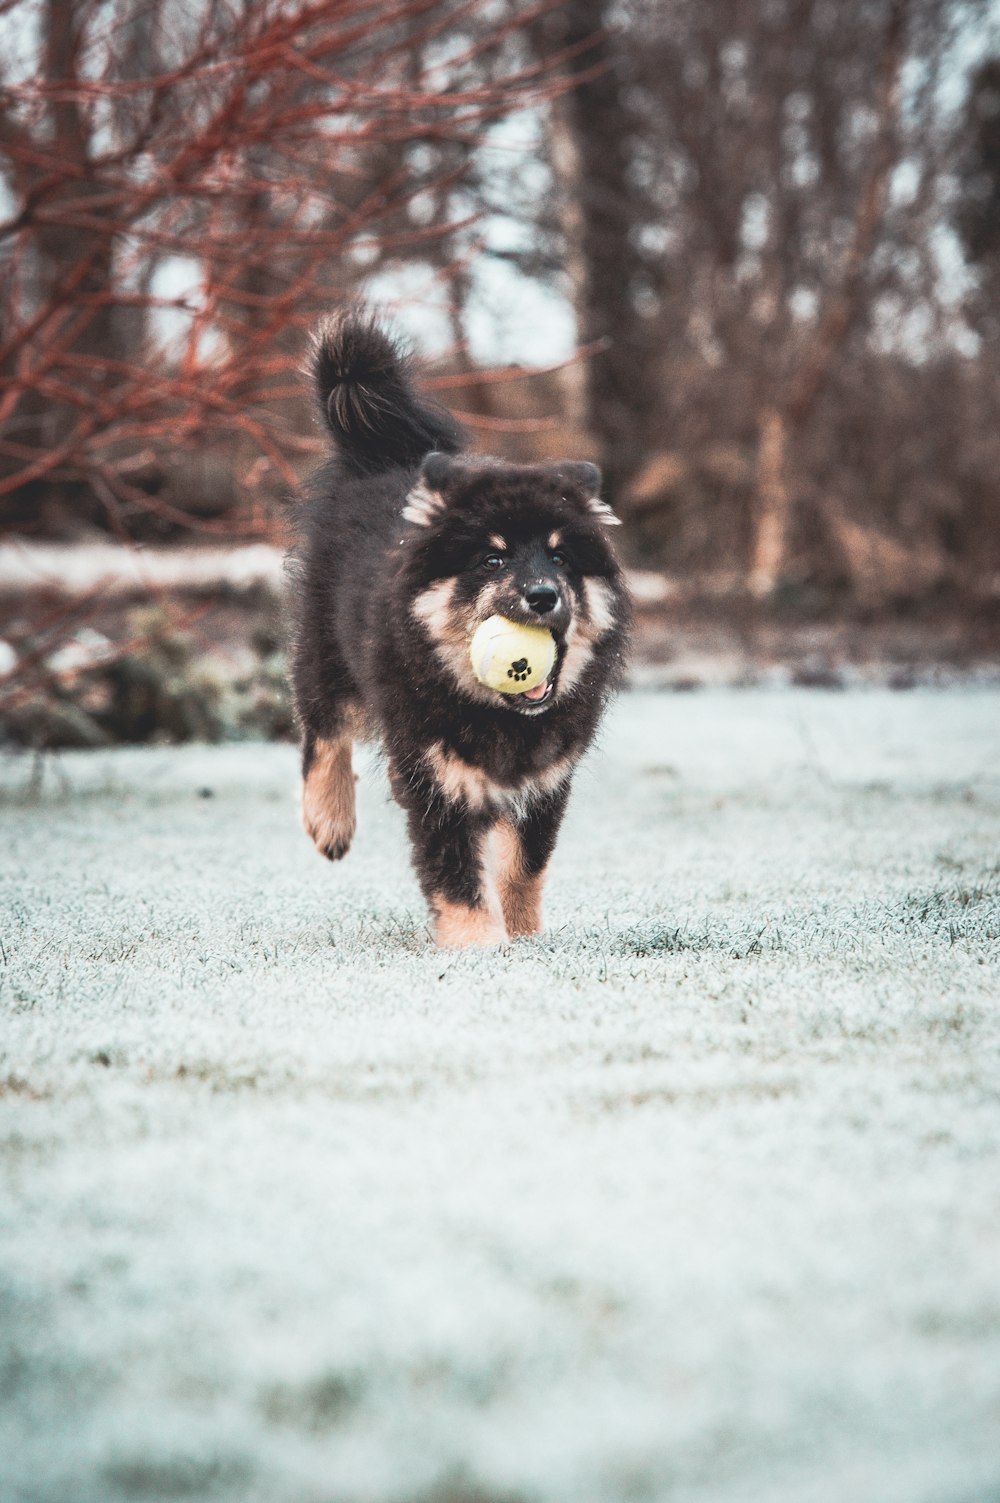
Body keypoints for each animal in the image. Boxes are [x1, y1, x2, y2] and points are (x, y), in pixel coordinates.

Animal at [288, 311, 631, 943]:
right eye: (492, 559)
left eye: (561, 557)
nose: (543, 595)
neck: (497, 714)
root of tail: (382, 457)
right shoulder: (436, 781)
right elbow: (457, 873)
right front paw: (477, 946)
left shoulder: (544, 783)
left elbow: (522, 867)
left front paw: (524, 938)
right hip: (325, 649)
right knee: (322, 729)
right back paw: (329, 820)